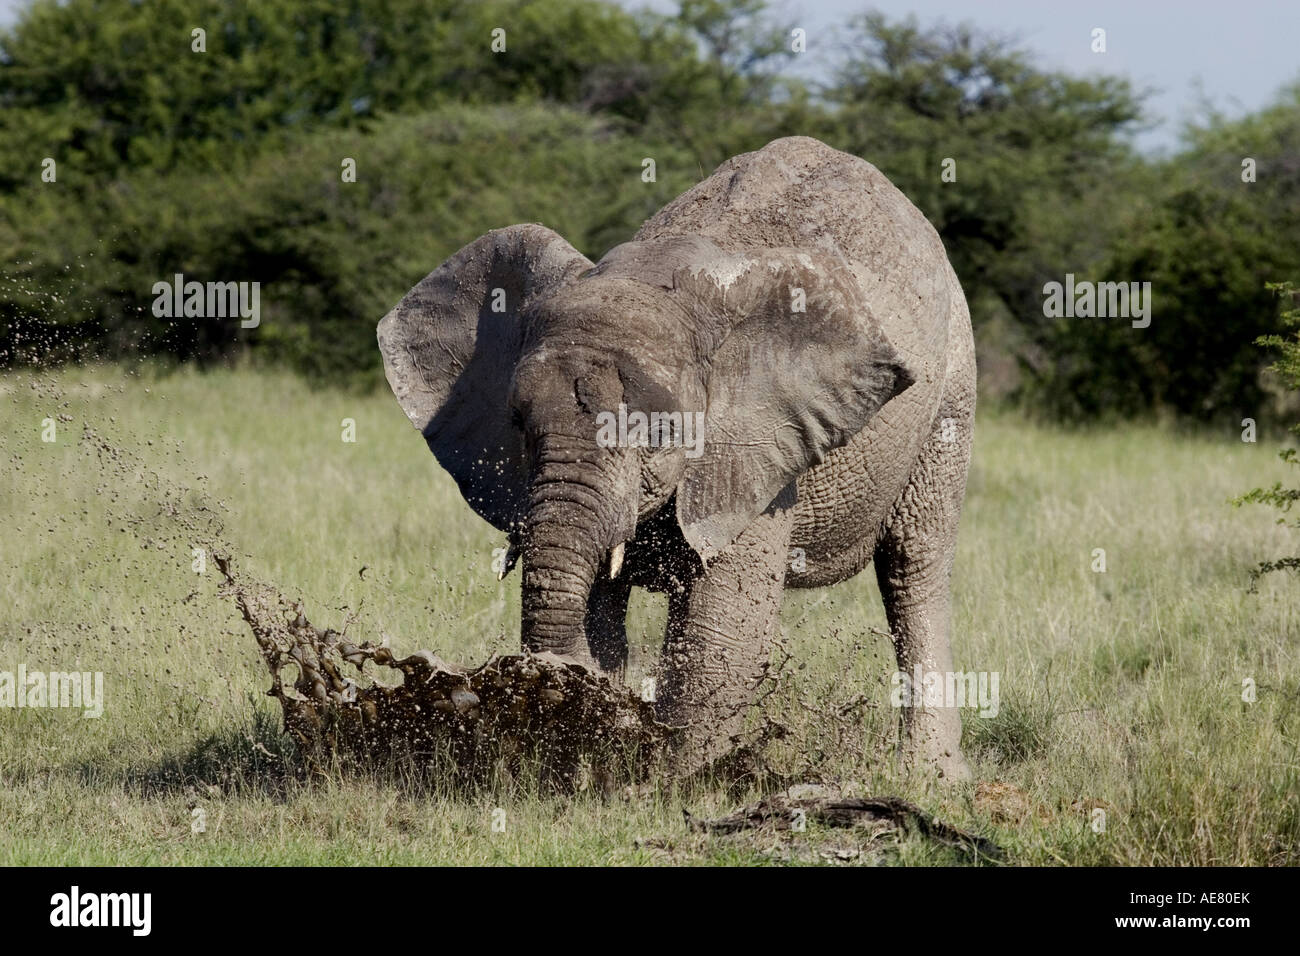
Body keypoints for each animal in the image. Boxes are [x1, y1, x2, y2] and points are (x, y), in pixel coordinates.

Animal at [379, 134, 972, 780]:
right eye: (518, 425)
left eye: (660, 430)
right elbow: (601, 607)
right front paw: (594, 742)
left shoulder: (754, 450)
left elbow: (721, 631)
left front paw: (671, 780)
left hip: (952, 394)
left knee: (914, 564)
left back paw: (931, 776)